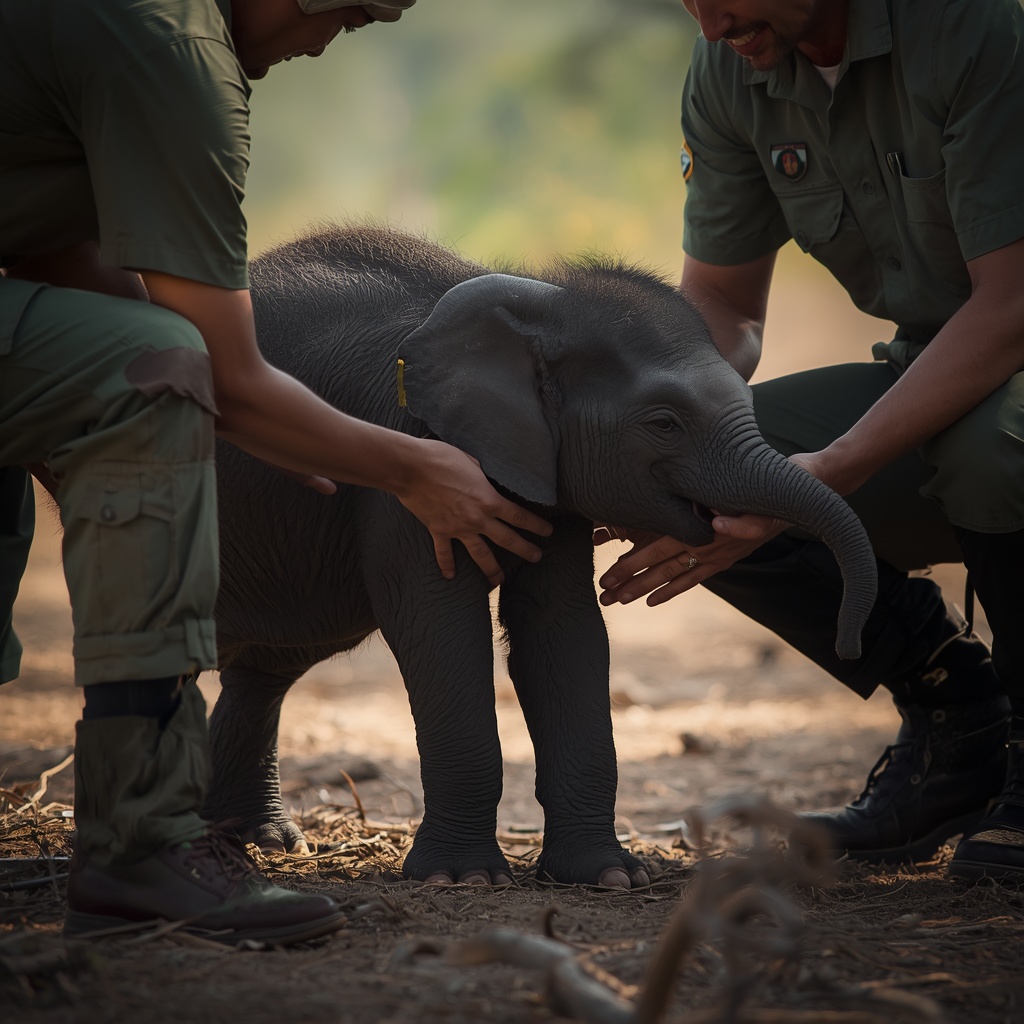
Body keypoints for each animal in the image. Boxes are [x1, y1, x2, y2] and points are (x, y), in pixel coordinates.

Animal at [205, 224, 877, 888]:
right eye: (664, 423)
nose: (850, 647)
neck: (540, 310)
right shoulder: (415, 467)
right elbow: (440, 625)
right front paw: (463, 880)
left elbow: (563, 627)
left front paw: (609, 877)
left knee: (271, 664)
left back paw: (263, 842)